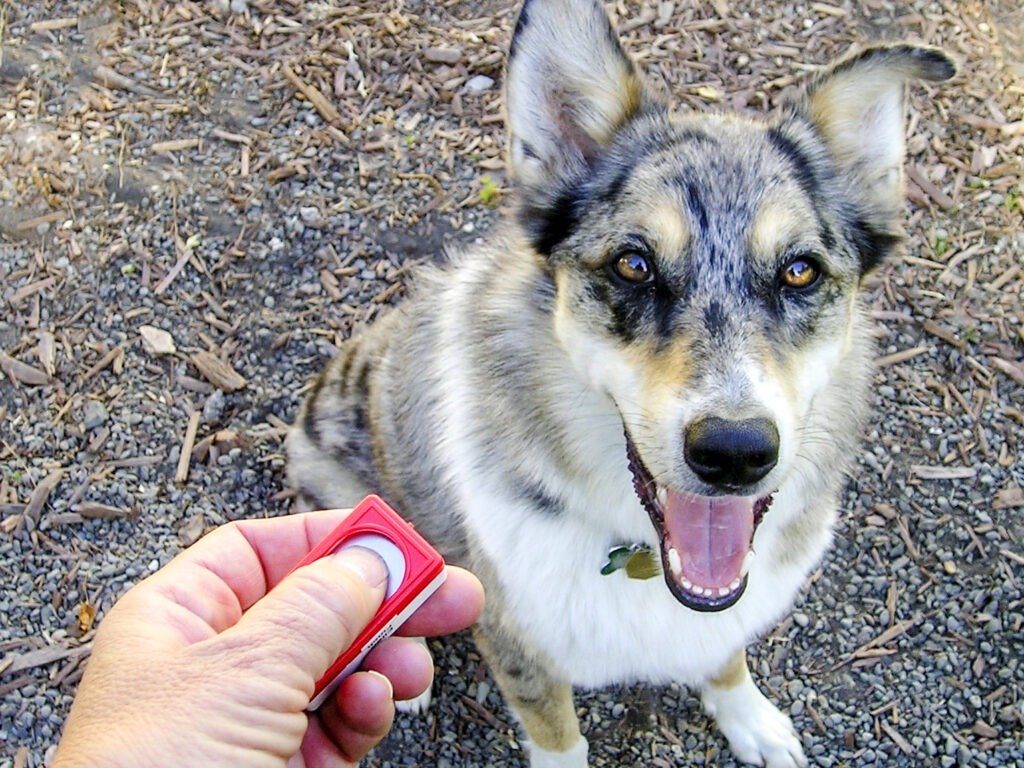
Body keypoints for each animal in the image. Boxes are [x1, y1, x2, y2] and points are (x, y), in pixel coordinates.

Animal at [284, 3, 954, 765]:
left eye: (800, 271)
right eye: (634, 264)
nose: (734, 453)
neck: (642, 556)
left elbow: (726, 656)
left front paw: (750, 720)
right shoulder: (516, 640)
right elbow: (556, 732)